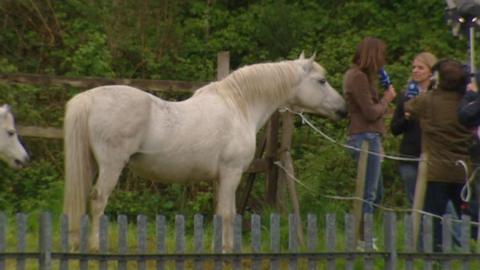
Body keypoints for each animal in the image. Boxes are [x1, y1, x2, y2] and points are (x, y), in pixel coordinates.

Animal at [63, 52, 346, 251]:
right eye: (321, 81)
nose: (343, 109)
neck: (239, 106)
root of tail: (88, 98)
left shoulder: (220, 178)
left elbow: (221, 213)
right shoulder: (231, 173)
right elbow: (228, 213)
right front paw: (226, 250)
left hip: (91, 164)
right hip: (111, 166)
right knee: (98, 200)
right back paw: (95, 247)